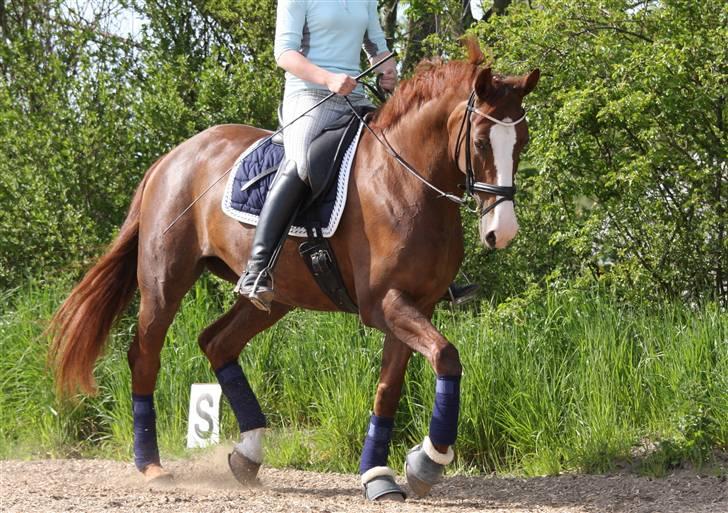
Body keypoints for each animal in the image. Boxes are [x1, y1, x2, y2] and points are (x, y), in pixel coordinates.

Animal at [48, 41, 536, 500]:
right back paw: (151, 465)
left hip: (274, 297)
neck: (405, 181)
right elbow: (447, 357)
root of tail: (173, 157)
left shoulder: (418, 304)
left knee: (216, 342)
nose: (503, 232)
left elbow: (393, 385)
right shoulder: (384, 305)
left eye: (523, 141)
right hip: (165, 281)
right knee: (145, 355)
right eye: (480, 142)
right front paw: (428, 461)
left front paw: (383, 473)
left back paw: (248, 454)